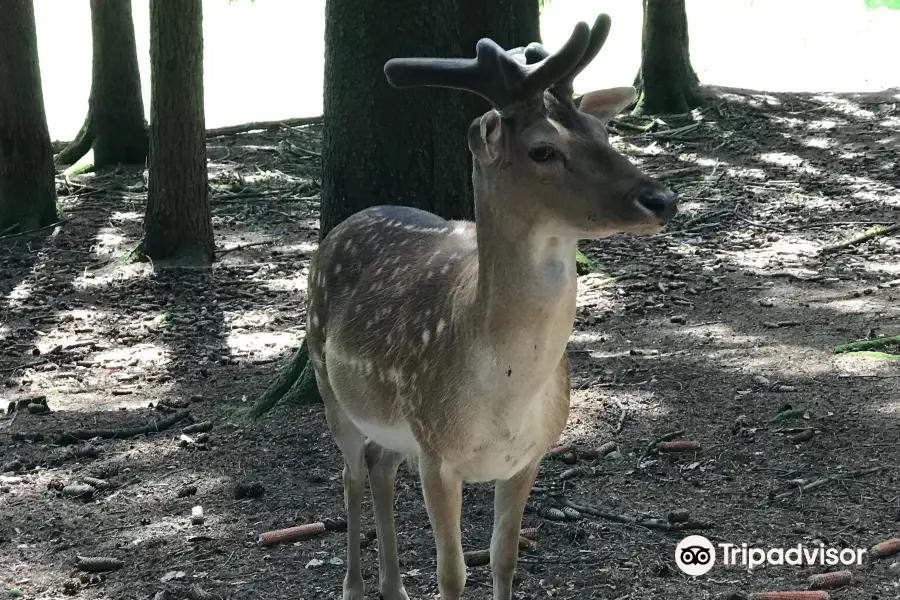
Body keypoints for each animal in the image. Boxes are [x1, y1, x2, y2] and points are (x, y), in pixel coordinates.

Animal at [302, 14, 676, 600]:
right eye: (543, 150)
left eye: (604, 134)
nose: (661, 199)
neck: (504, 399)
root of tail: (345, 223)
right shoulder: (436, 455)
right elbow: (451, 574)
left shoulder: (529, 456)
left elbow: (504, 558)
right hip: (331, 385)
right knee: (352, 475)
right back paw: (355, 586)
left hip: (394, 423)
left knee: (381, 466)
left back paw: (394, 587)